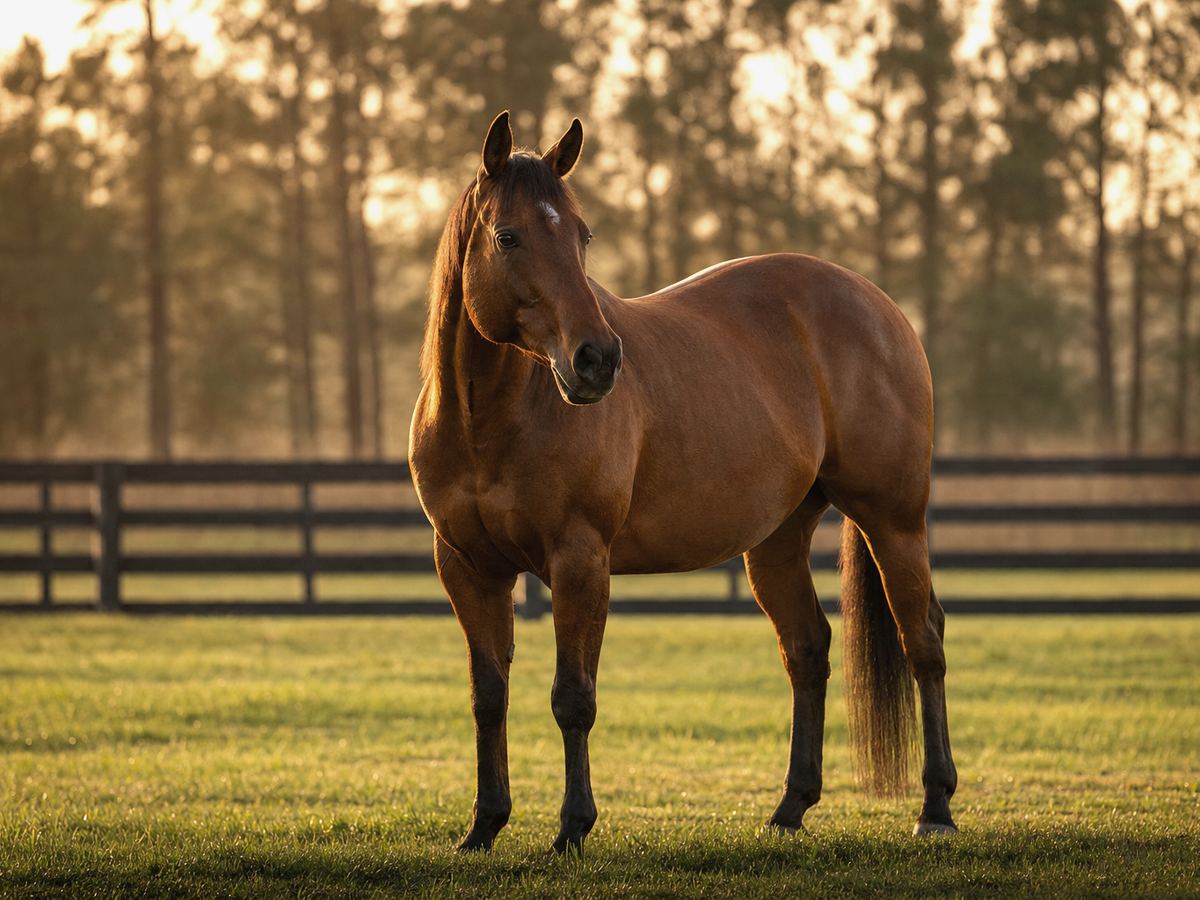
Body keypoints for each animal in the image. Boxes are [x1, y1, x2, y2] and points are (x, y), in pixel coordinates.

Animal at [408, 111, 958, 854]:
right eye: (508, 236)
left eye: (581, 234)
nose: (597, 359)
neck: (488, 420)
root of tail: (881, 307)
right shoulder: (468, 567)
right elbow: (488, 695)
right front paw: (483, 826)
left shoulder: (580, 561)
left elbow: (572, 698)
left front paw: (572, 828)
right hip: (777, 540)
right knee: (807, 649)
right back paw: (790, 808)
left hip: (892, 520)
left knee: (922, 641)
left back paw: (936, 806)